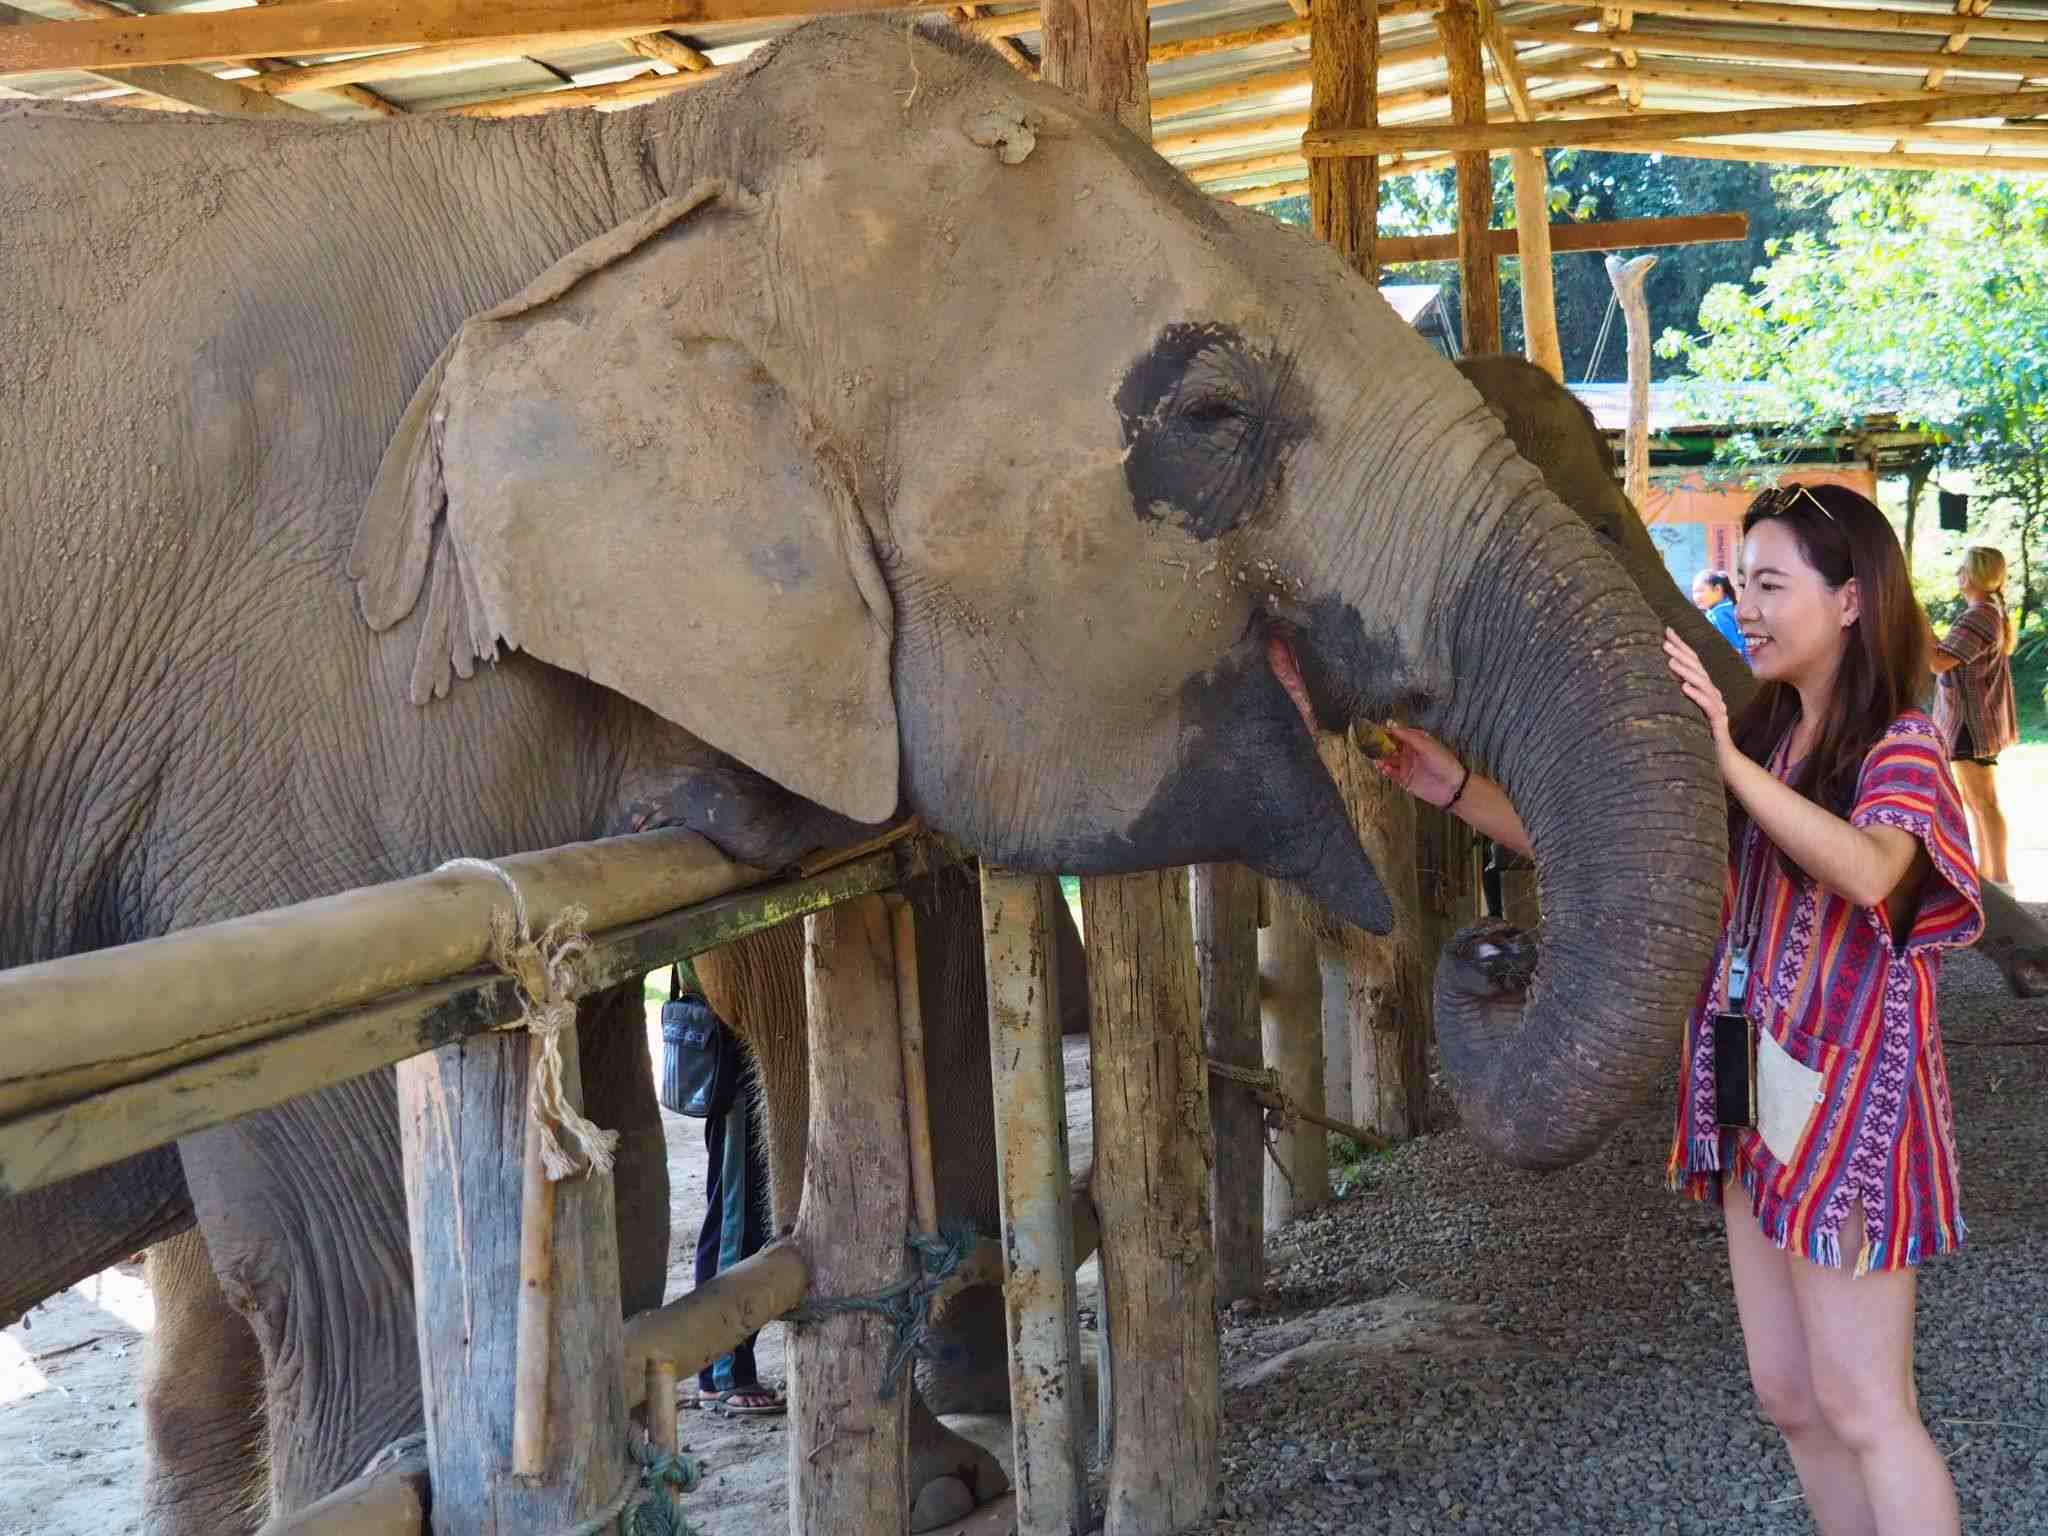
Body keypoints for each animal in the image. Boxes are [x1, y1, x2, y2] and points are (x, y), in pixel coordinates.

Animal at [0, 20, 1727, 1532]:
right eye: (1210, 410)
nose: (1492, 948)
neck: (635, 177)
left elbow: (635, 1146)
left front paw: (949, 1474)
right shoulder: (319, 717)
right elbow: (350, 1246)